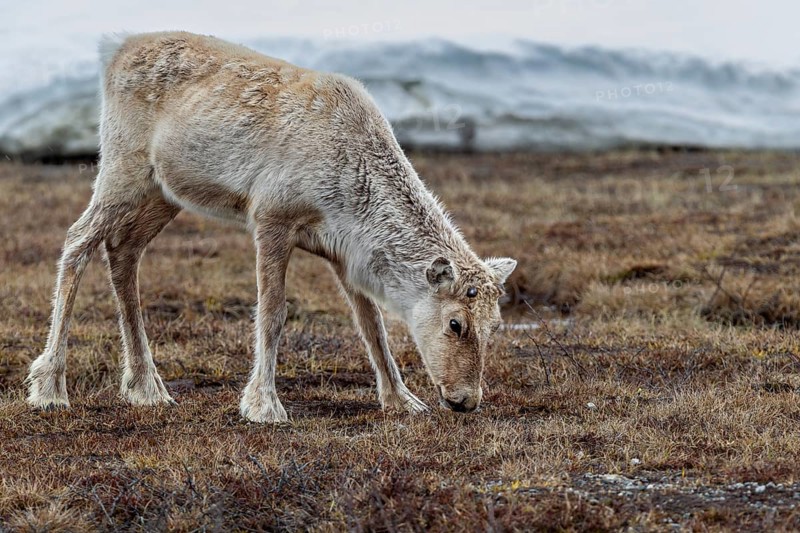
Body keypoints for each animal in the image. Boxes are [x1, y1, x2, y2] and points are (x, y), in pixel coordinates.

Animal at [25, 32, 517, 423]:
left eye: (495, 325)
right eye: (456, 323)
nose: (466, 400)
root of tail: (115, 49)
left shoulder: (344, 253)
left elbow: (371, 324)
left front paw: (401, 400)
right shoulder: (271, 218)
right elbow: (273, 313)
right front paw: (264, 405)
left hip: (164, 193)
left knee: (123, 248)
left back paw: (146, 387)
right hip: (123, 167)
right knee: (78, 240)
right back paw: (50, 387)